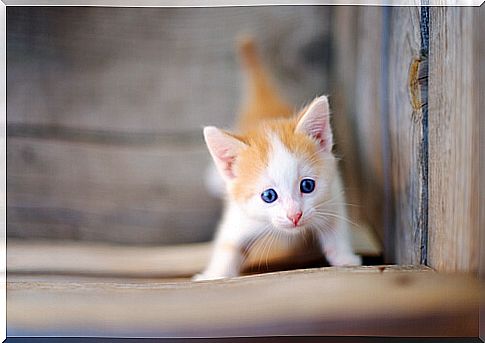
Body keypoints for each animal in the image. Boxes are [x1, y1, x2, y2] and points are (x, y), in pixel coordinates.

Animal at [193, 37, 360, 280]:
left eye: (307, 185)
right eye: (269, 195)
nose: (295, 215)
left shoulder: (333, 192)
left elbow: (336, 225)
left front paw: (345, 257)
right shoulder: (239, 217)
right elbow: (227, 245)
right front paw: (213, 275)